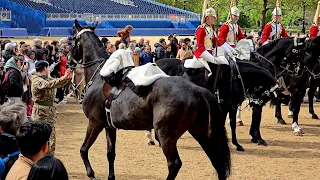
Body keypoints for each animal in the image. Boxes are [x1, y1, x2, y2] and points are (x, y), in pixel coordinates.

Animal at [69, 19, 230, 180]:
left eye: (72, 39)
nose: (70, 62)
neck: (101, 74)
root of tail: (196, 89)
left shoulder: (95, 123)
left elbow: (83, 150)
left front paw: (91, 174)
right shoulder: (109, 126)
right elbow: (110, 154)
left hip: (166, 134)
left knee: (174, 164)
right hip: (200, 131)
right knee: (216, 160)